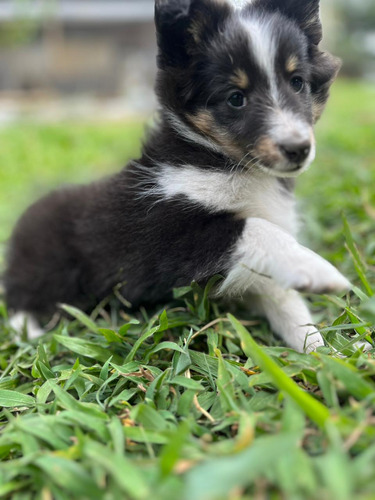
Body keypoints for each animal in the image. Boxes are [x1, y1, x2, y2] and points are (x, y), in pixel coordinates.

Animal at [4, 0, 350, 352]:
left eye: (297, 82)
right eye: (235, 98)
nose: (298, 149)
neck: (222, 160)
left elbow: (283, 299)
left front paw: (321, 349)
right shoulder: (167, 241)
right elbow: (255, 229)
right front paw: (319, 271)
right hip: (44, 268)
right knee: (20, 302)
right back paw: (30, 335)